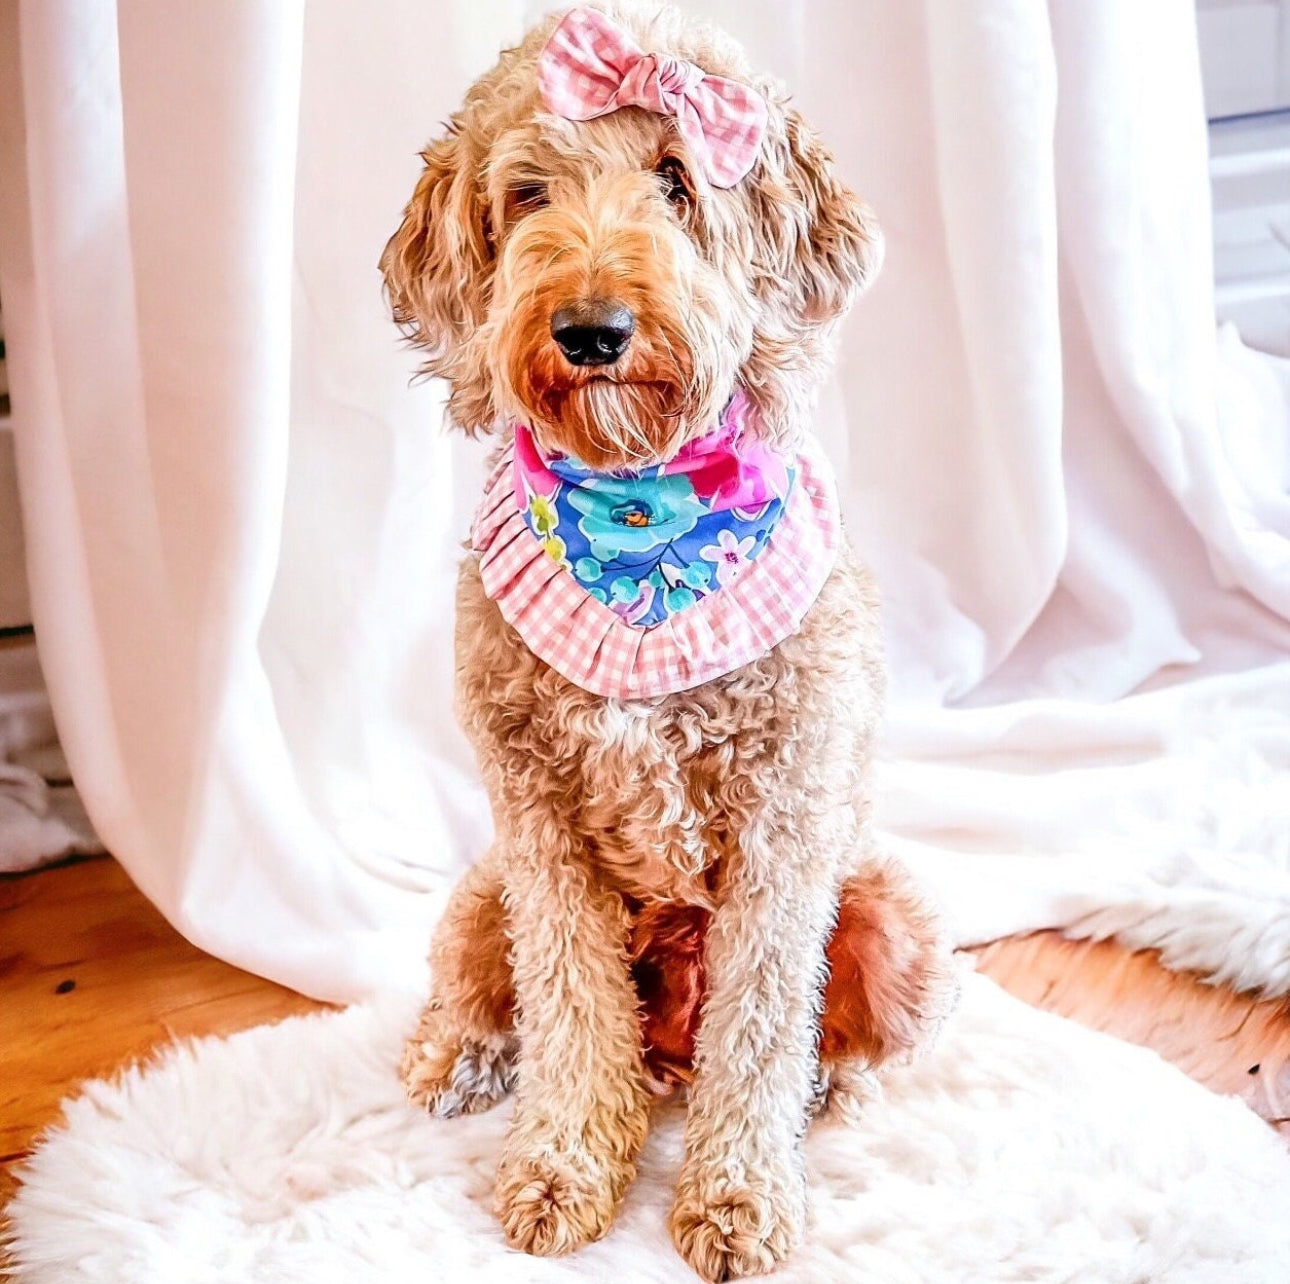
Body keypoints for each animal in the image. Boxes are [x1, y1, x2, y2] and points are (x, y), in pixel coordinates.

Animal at [381, 5, 959, 1280]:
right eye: (529, 193)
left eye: (678, 180)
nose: (591, 331)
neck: (642, 517)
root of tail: (669, 1059)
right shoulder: (538, 823)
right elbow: (569, 1001)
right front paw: (562, 1169)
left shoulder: (787, 825)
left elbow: (764, 1023)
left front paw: (738, 1201)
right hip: (481, 891)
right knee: (484, 995)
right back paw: (456, 1060)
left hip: (891, 911)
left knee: (812, 1034)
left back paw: (820, 1093)